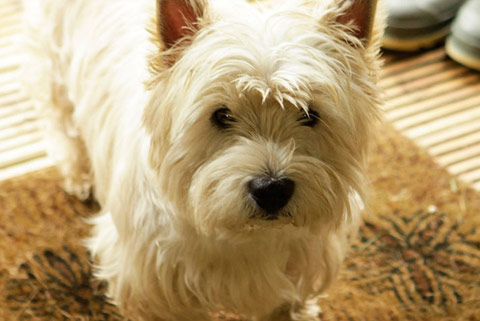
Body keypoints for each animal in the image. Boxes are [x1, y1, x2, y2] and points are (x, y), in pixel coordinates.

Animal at [21, 0, 382, 318]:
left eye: (309, 114)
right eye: (221, 115)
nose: (272, 190)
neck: (243, 237)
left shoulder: (298, 268)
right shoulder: (154, 286)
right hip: (53, 62)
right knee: (59, 117)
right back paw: (79, 176)